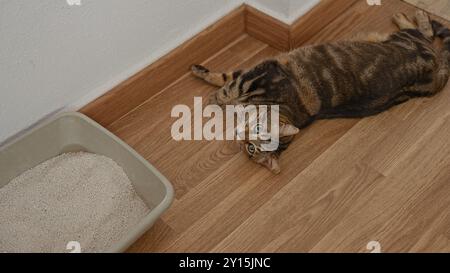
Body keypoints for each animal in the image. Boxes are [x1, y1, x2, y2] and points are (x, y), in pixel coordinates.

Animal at [191, 11, 450, 172]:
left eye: (252, 147)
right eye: (253, 140)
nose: (241, 137)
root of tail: (436, 68)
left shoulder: (256, 76)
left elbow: (225, 85)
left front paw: (211, 96)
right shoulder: (255, 75)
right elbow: (226, 84)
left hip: (404, 40)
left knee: (425, 32)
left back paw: (413, 15)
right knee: (428, 33)